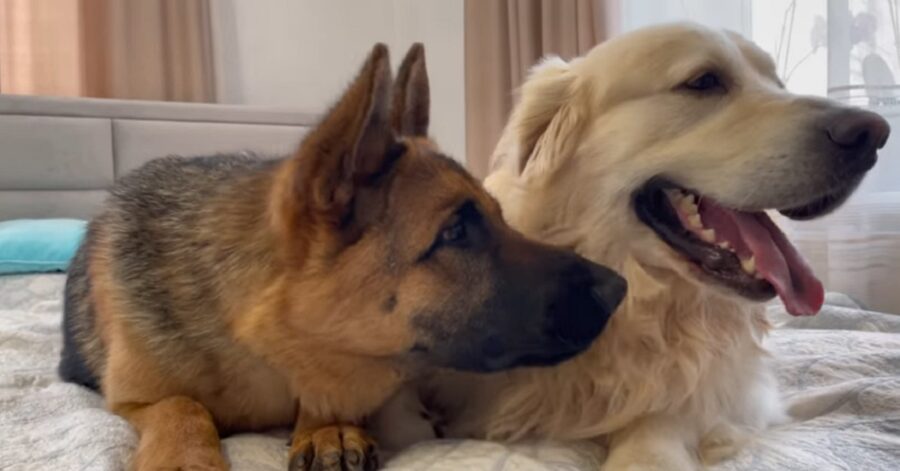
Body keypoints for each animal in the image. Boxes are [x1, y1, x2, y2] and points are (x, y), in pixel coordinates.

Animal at [59, 44, 628, 471]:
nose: (618, 288)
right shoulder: (131, 401)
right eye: (456, 231)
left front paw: (327, 424)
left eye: (500, 215)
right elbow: (180, 404)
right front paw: (184, 457)